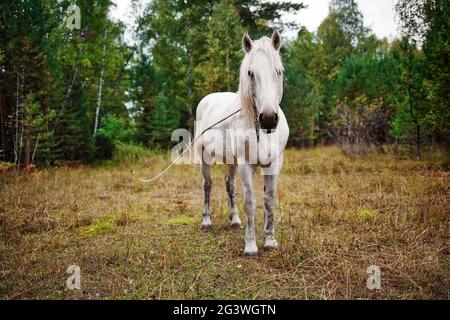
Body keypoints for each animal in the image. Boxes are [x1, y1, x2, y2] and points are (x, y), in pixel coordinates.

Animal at [193, 31, 288, 258]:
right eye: (250, 73)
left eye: (279, 72)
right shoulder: (246, 166)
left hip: (232, 161)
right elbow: (251, 203)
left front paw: (270, 241)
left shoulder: (274, 164)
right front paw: (251, 246)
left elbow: (269, 202)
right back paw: (206, 222)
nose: (268, 119)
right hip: (205, 158)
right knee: (207, 185)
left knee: (229, 184)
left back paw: (235, 220)